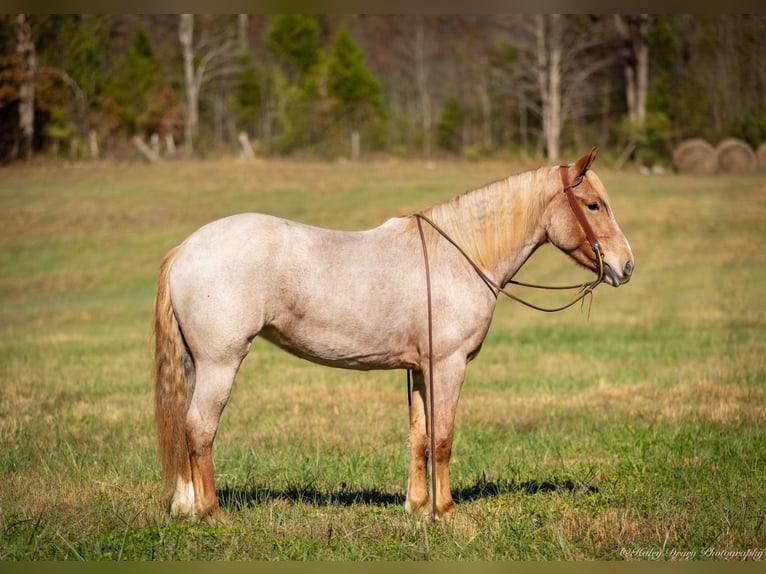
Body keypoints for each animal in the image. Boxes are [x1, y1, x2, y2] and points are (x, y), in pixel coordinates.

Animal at [153, 147, 632, 520]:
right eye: (593, 205)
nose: (625, 265)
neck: (458, 256)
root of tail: (187, 248)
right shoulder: (448, 366)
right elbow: (443, 438)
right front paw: (447, 511)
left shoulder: (420, 369)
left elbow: (419, 435)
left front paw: (418, 507)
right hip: (221, 362)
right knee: (200, 428)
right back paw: (211, 513)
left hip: (198, 364)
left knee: (186, 426)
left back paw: (185, 507)